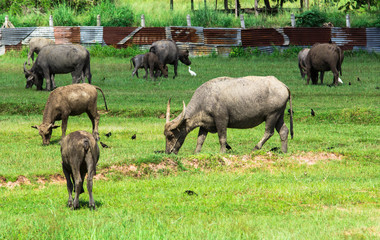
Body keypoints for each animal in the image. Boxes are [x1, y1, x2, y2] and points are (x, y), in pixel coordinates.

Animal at [164, 76, 294, 155]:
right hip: (279, 115)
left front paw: (222, 152)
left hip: (272, 115)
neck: (205, 99)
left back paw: (255, 148)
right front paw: (196, 153)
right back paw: (284, 151)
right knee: (284, 131)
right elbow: (200, 140)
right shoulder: (204, 125)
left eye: (170, 135)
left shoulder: (221, 120)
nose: (168, 152)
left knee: (269, 132)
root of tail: (283, 85)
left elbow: (222, 138)